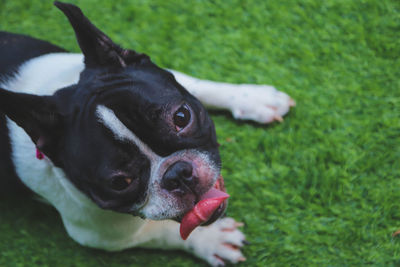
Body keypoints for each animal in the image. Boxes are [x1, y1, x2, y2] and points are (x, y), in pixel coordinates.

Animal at [0, 1, 294, 266]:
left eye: (181, 117)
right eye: (120, 182)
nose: (178, 173)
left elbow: (199, 84)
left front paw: (253, 98)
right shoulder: (101, 235)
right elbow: (166, 232)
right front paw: (213, 239)